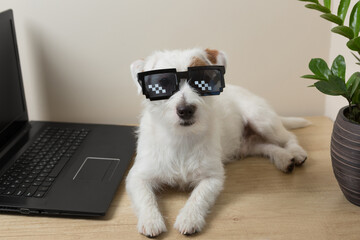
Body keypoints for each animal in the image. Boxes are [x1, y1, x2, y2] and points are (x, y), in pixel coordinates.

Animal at [126, 47, 310, 237]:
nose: (185, 110)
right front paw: (151, 220)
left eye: (201, 81)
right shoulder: (137, 176)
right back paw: (283, 158)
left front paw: (189, 218)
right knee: (267, 146)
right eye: (163, 82)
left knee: (288, 137)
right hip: (247, 145)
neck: (182, 137)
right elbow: (145, 196)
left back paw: (296, 153)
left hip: (262, 120)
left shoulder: (212, 177)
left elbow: (199, 196)